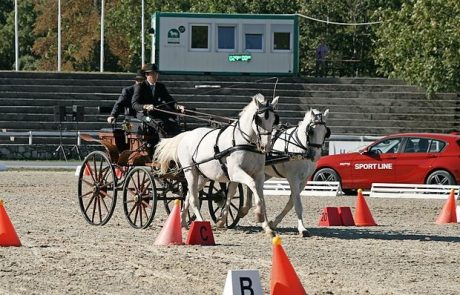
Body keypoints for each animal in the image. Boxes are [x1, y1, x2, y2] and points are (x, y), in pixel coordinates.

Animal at [154, 94, 280, 236]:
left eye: (274, 119)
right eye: (258, 119)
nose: (266, 146)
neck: (245, 142)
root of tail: (187, 134)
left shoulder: (257, 173)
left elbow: (255, 194)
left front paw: (266, 226)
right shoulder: (235, 172)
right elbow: (251, 185)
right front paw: (258, 215)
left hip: (202, 176)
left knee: (188, 195)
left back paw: (182, 222)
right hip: (190, 171)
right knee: (193, 199)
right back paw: (201, 222)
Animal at [237, 108, 330, 238]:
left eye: (326, 132)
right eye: (310, 131)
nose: (316, 156)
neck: (299, 149)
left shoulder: (304, 181)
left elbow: (291, 202)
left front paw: (273, 223)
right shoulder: (293, 178)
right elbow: (297, 204)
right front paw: (302, 229)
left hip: (263, 173)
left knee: (252, 187)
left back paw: (247, 210)